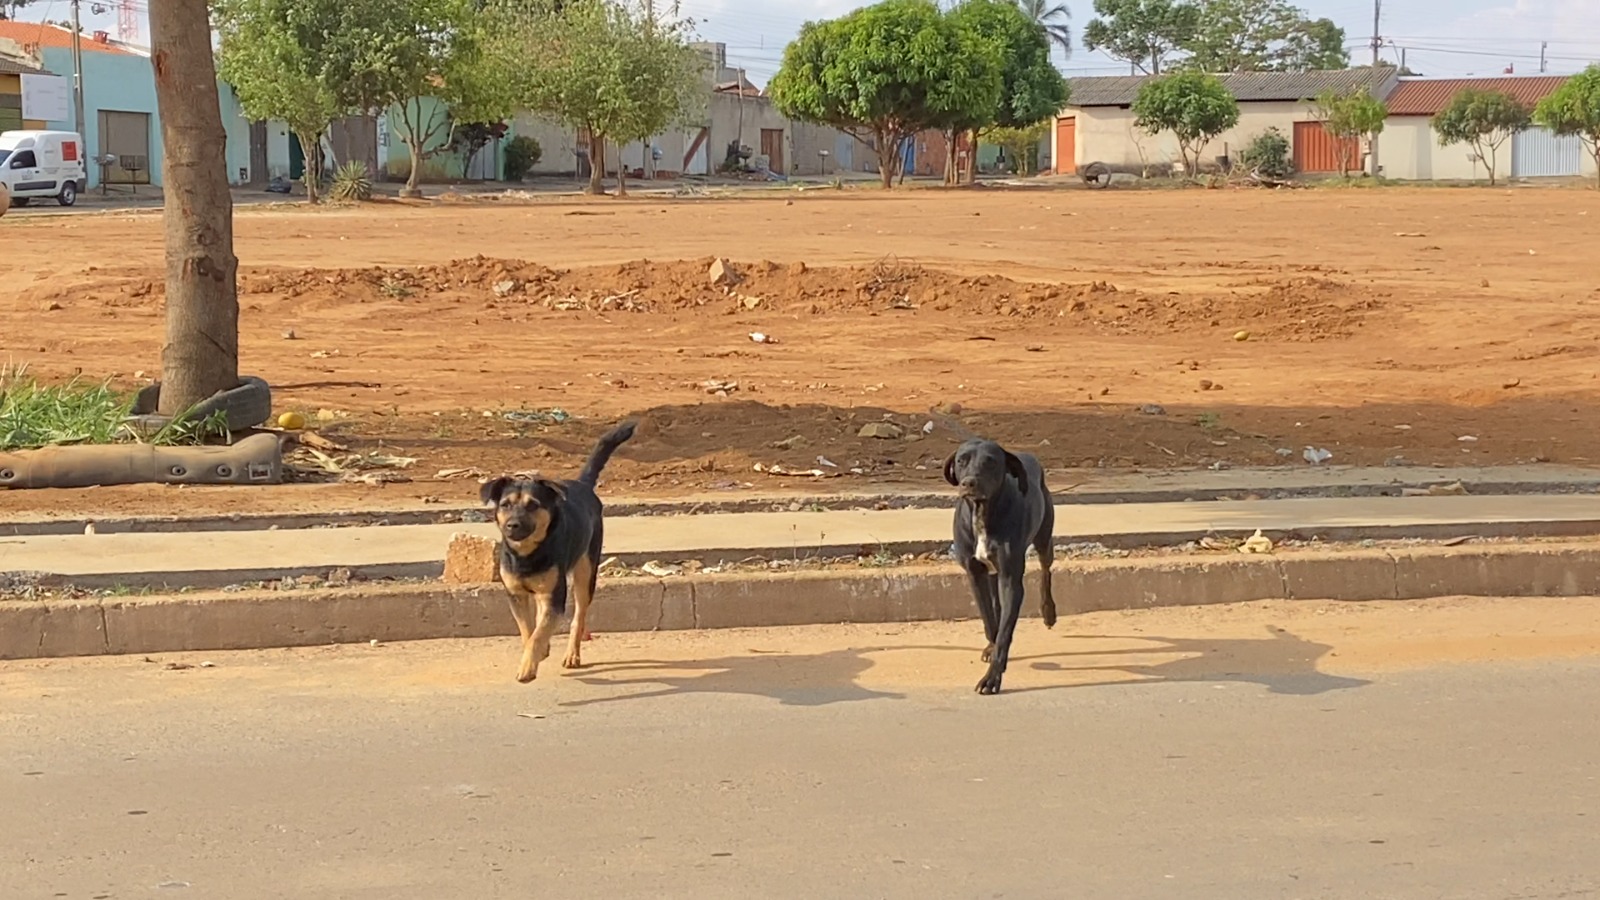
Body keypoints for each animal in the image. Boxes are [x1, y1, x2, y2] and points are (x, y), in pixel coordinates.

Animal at [480, 419, 636, 679]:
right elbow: (528, 631)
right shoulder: (517, 595)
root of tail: (582, 485)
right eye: (505, 505)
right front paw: (535, 654)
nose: (513, 525)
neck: (526, 554)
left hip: (585, 574)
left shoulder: (554, 597)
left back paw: (572, 654)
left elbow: (539, 633)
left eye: (533, 505)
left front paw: (528, 667)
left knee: (578, 618)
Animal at [940, 435, 1056, 695]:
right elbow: (990, 620)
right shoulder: (975, 574)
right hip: (992, 573)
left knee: (1046, 571)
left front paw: (991, 678)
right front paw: (992, 650)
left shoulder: (1011, 580)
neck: (982, 512)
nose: (969, 483)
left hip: (1044, 538)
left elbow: (1004, 633)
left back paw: (1049, 613)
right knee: (996, 604)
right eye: (961, 460)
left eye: (991, 462)